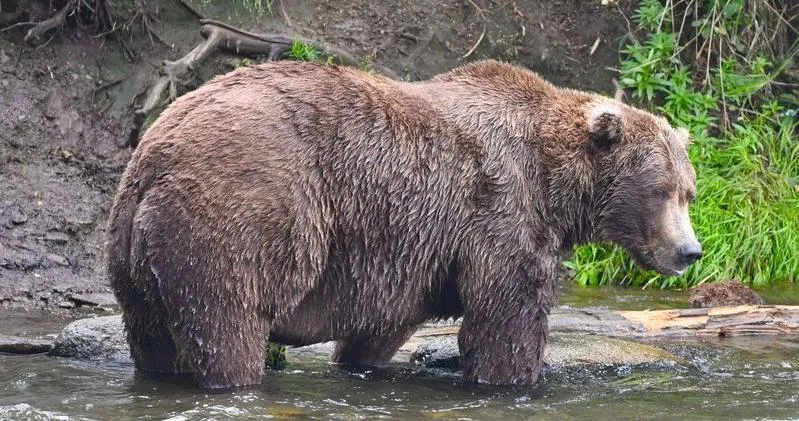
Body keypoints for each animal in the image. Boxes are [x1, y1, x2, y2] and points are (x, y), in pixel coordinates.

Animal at [106, 59, 702, 389]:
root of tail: (154, 155)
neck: (556, 181)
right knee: (226, 324)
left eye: (689, 192)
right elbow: (507, 319)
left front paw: (360, 362)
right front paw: (515, 380)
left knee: (153, 339)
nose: (690, 251)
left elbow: (382, 326)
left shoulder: (412, 251)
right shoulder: (501, 212)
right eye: (659, 190)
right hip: (238, 215)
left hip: (133, 251)